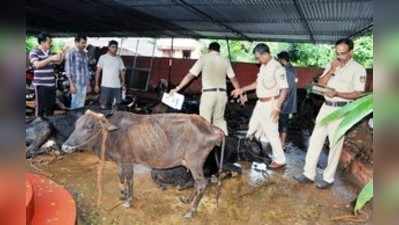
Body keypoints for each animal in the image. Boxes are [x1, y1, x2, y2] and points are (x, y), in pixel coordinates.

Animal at [61, 110, 225, 217]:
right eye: (76, 125)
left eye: (90, 126)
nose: (65, 147)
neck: (113, 136)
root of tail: (212, 128)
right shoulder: (120, 161)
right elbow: (121, 177)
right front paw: (123, 194)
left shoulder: (127, 161)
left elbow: (129, 179)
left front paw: (128, 201)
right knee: (198, 183)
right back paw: (188, 200)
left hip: (195, 162)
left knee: (202, 183)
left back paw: (191, 211)